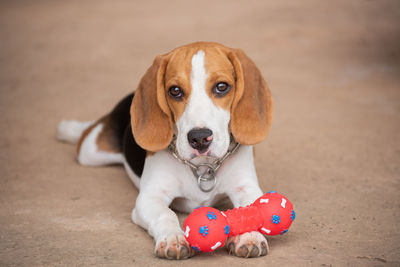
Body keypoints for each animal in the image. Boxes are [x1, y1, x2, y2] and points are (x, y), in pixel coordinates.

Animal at [57, 42, 276, 260]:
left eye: (222, 87)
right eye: (175, 91)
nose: (199, 138)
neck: (202, 166)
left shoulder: (246, 187)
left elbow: (251, 210)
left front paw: (249, 236)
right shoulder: (149, 197)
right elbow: (166, 214)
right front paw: (174, 238)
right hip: (90, 152)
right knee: (86, 133)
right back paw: (69, 129)